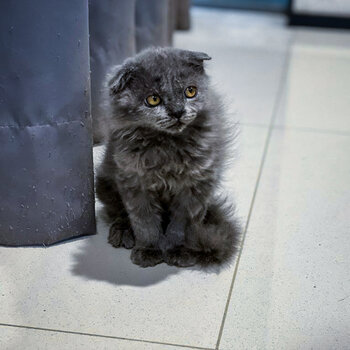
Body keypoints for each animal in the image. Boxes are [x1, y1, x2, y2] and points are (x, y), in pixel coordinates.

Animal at [95, 45, 241, 266]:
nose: (178, 111)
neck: (167, 146)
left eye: (190, 91)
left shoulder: (195, 185)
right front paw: (149, 249)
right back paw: (122, 232)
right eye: (153, 99)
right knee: (118, 212)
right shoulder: (135, 182)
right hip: (104, 182)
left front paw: (177, 250)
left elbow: (181, 224)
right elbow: (145, 222)